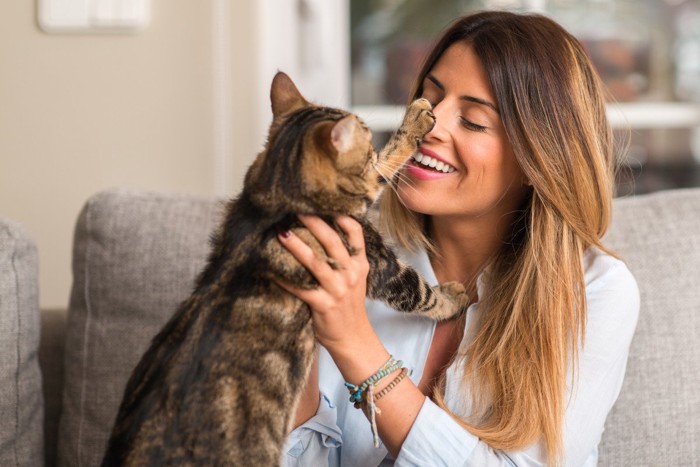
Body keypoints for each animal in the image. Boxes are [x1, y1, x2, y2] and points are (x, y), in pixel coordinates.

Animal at [100, 71, 470, 466]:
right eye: (367, 140)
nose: (371, 144)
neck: (276, 201)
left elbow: (385, 165)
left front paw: (415, 120)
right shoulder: (376, 260)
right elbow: (420, 291)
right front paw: (454, 295)